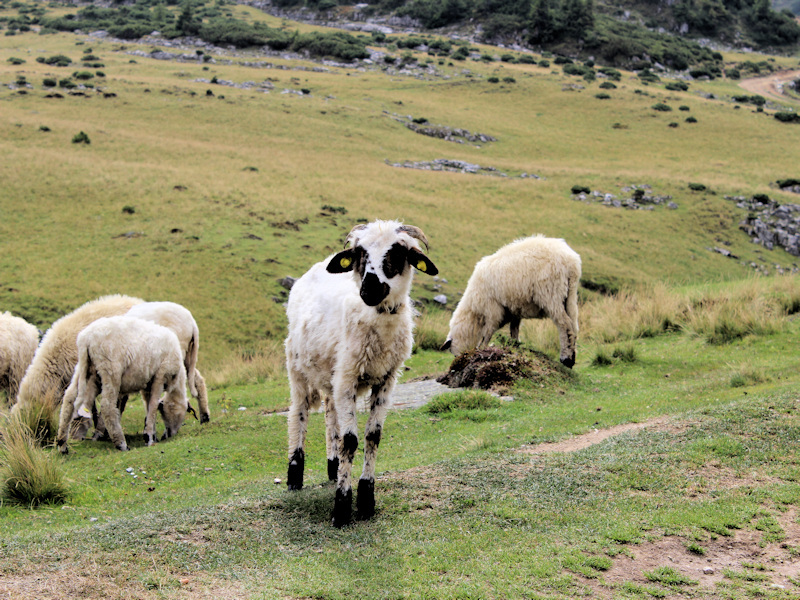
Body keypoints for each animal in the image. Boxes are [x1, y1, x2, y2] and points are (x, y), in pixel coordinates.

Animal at [286, 219, 440, 524]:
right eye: (360, 253)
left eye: (398, 252)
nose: (369, 289)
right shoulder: (347, 379)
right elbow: (350, 441)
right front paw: (343, 507)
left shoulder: (386, 380)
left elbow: (372, 437)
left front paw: (366, 498)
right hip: (297, 368)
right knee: (299, 413)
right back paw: (295, 473)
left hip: (332, 375)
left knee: (330, 414)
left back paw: (332, 467)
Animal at [440, 234, 580, 366]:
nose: (458, 357)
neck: (473, 310)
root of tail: (571, 262)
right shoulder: (514, 308)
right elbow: (514, 329)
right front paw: (514, 344)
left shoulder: (492, 309)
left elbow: (488, 332)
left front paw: (482, 348)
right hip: (570, 295)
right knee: (573, 324)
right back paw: (572, 358)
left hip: (551, 293)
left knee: (564, 324)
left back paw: (566, 358)